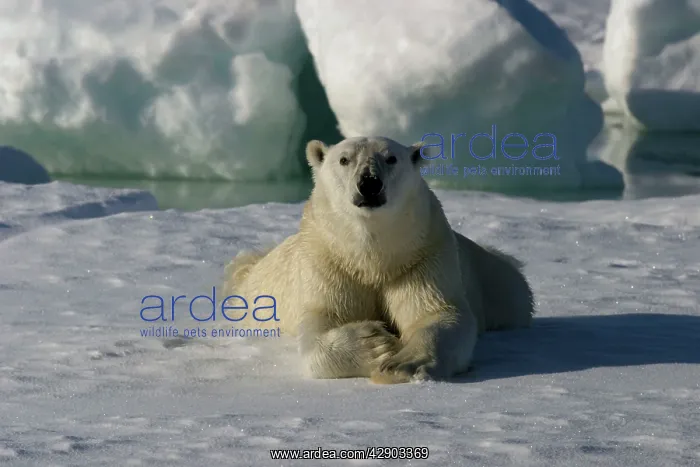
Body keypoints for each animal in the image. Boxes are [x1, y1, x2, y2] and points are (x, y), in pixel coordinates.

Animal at [221, 136, 535, 384]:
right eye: (344, 159)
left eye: (391, 158)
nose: (369, 183)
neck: (371, 257)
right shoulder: (329, 262)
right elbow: (320, 321)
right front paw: (377, 344)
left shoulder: (422, 259)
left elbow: (437, 313)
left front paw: (404, 364)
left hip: (497, 285)